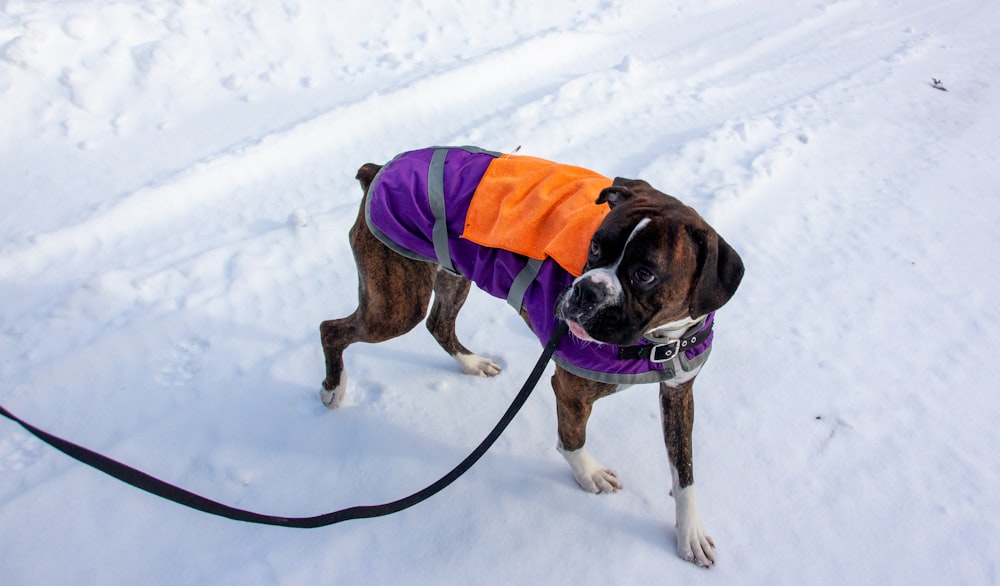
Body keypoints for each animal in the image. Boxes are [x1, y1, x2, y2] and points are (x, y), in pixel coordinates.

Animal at [320, 147, 744, 564]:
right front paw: (589, 476)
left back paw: (472, 364)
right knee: (332, 329)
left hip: (452, 276)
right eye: (593, 247)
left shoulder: (679, 392)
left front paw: (689, 534)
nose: (586, 291)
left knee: (439, 324)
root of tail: (378, 170)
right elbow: (572, 438)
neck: (657, 338)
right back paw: (333, 389)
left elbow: (683, 471)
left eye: (644, 274)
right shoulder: (572, 391)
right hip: (395, 307)